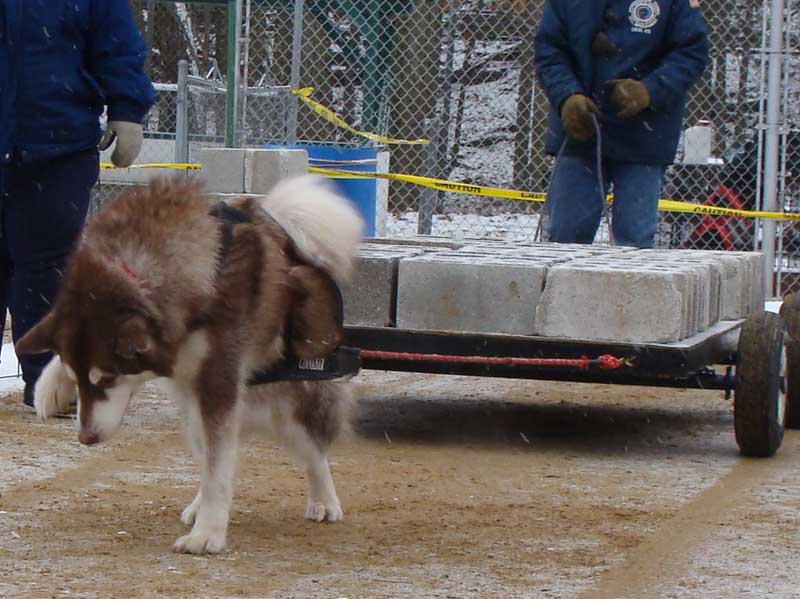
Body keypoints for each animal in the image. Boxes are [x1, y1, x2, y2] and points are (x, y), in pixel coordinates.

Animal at [15, 176, 362, 556]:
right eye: (79, 378)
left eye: (107, 379)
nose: (86, 438)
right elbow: (213, 465)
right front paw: (50, 385)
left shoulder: (218, 379)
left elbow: (218, 469)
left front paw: (207, 534)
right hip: (196, 409)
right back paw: (199, 505)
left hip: (292, 403)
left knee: (313, 452)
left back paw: (323, 500)